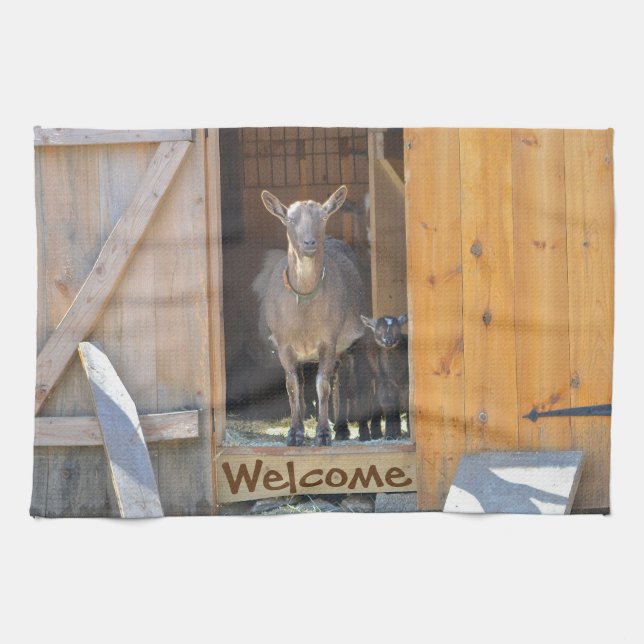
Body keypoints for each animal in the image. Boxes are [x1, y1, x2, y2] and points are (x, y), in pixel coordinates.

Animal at [259, 186, 366, 446]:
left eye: (323, 216)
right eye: (290, 219)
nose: (309, 243)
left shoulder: (329, 340)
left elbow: (323, 385)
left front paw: (323, 433)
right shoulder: (284, 344)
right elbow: (292, 385)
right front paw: (295, 433)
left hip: (349, 342)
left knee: (342, 378)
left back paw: (342, 428)